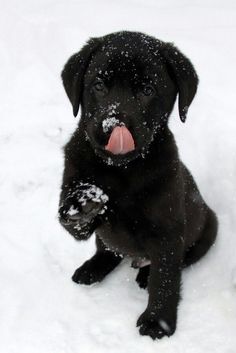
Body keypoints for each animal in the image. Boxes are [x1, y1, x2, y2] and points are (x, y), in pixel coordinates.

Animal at [59, 31, 218, 340]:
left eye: (146, 90)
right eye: (99, 85)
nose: (113, 124)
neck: (121, 170)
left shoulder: (168, 232)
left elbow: (165, 279)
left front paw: (158, 321)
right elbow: (70, 217)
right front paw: (83, 204)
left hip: (208, 230)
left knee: (178, 262)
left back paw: (144, 275)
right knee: (107, 249)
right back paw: (92, 268)